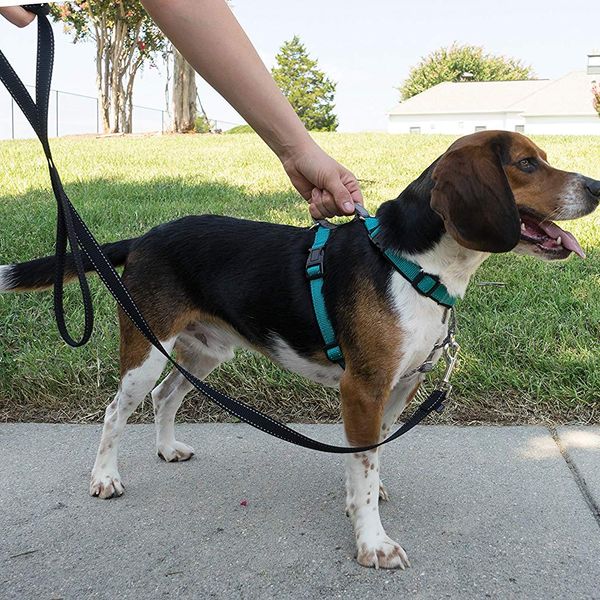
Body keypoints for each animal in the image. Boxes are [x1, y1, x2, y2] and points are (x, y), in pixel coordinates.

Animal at [0, 130, 596, 568]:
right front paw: (372, 542)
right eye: (527, 164)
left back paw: (168, 448)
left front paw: (362, 503)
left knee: (166, 397)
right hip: (146, 350)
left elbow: (369, 457)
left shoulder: (401, 387)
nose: (594, 186)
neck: (414, 264)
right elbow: (365, 462)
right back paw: (104, 478)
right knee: (115, 411)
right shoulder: (364, 388)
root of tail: (144, 238)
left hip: (203, 351)